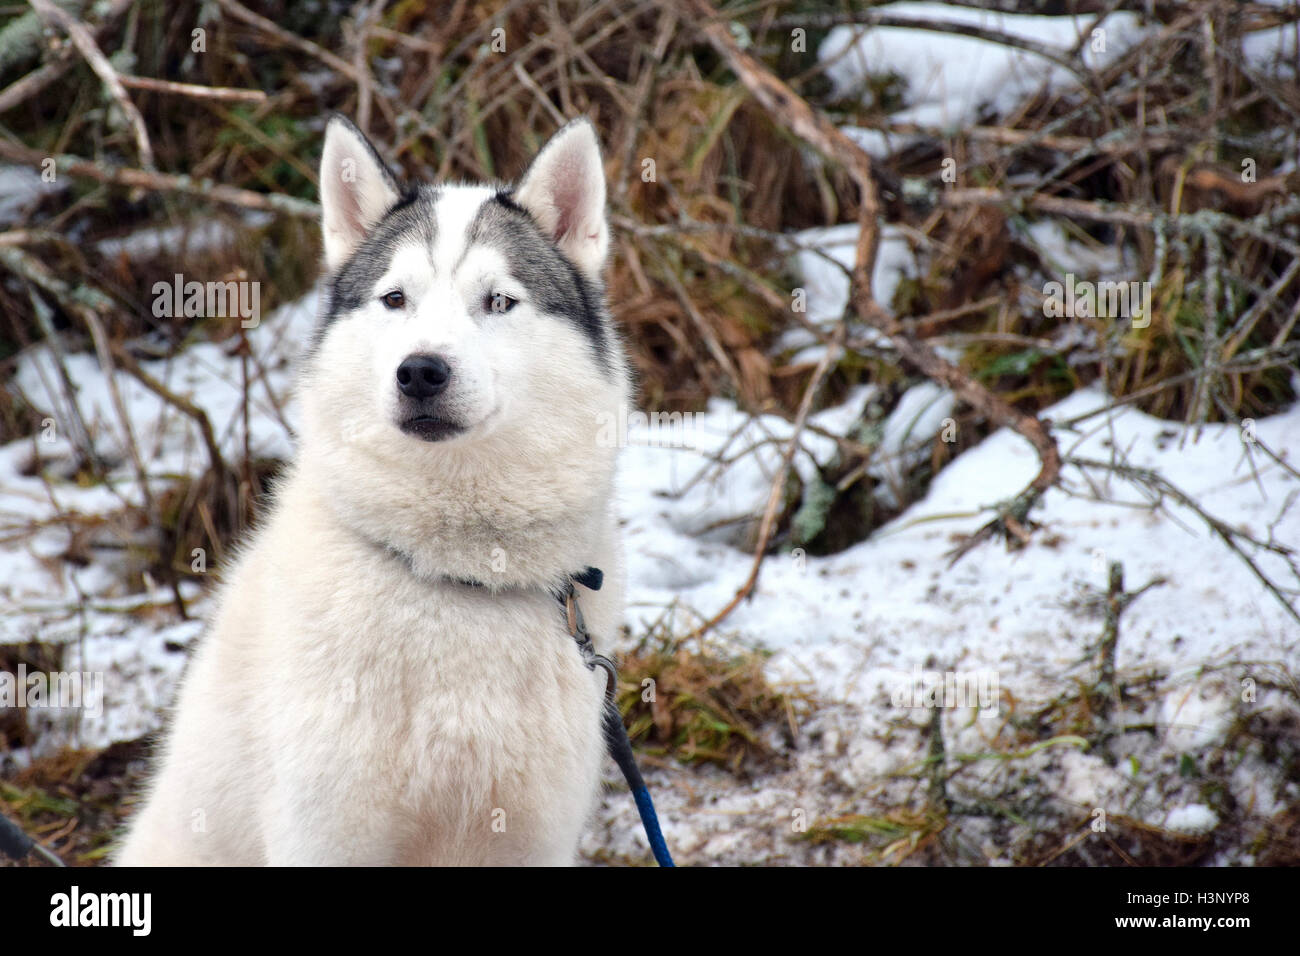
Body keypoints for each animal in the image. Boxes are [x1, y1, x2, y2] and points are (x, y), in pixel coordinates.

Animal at [118, 115, 629, 863]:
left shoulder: (527, 838)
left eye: (498, 302)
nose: (421, 372)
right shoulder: (325, 837)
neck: (456, 577)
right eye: (395, 299)